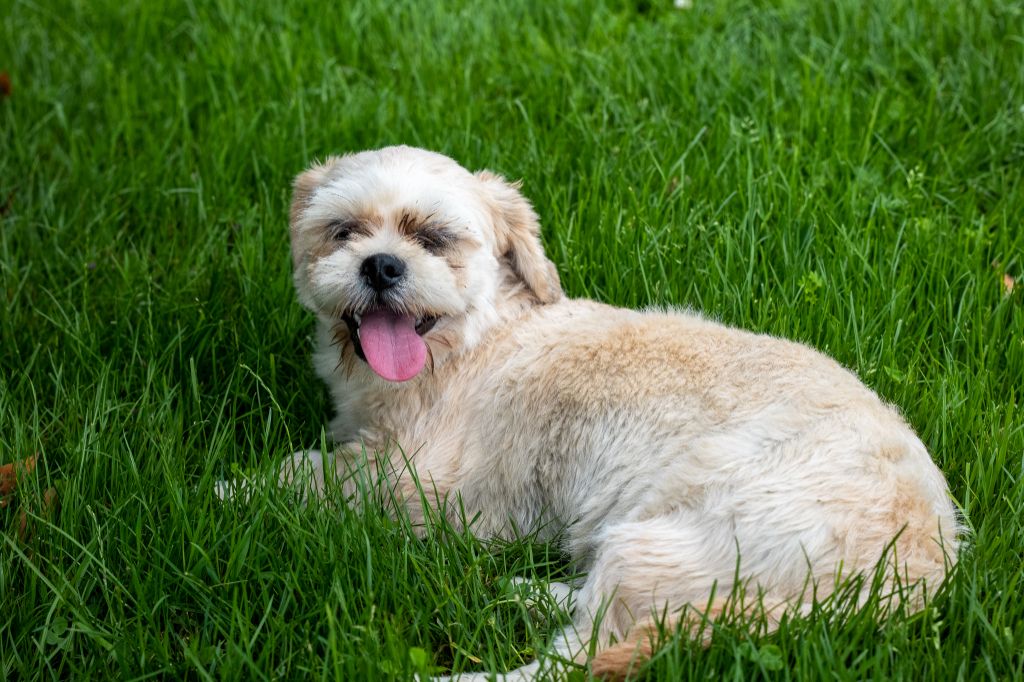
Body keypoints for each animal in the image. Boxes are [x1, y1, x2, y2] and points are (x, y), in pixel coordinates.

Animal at [280, 143, 958, 675]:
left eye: (433, 238)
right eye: (343, 231)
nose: (381, 264)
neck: (478, 336)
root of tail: (904, 582)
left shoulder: (427, 488)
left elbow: (296, 476)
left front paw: (255, 487)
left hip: (661, 547)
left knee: (571, 661)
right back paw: (530, 591)